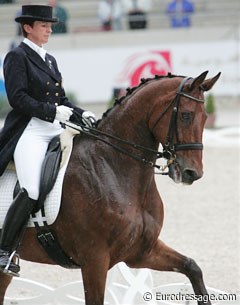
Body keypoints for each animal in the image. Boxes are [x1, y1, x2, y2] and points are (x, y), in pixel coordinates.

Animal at [0, 70, 221, 302]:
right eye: (186, 115)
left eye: (205, 117)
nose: (192, 173)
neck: (112, 167)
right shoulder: (94, 260)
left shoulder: (142, 252)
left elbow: (192, 267)